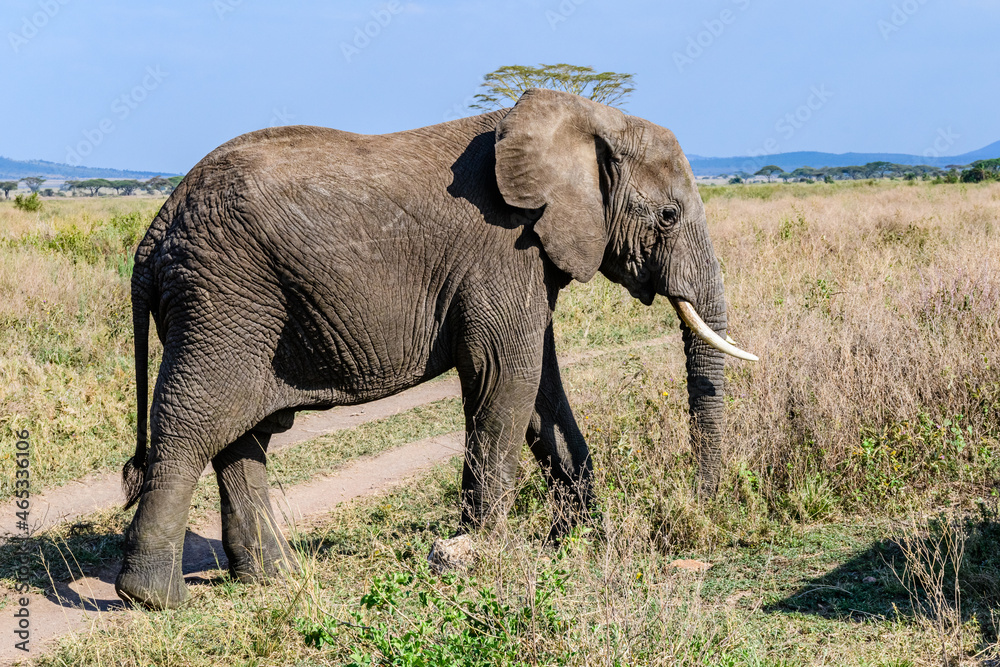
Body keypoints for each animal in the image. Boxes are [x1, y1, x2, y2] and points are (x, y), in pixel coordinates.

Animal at [115, 87, 756, 609]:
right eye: (668, 216)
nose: (697, 506)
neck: (582, 117)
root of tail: (152, 235)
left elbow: (542, 390)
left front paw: (581, 538)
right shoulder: (503, 250)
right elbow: (507, 379)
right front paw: (481, 552)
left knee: (241, 438)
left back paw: (276, 578)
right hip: (222, 298)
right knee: (192, 424)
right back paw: (154, 598)